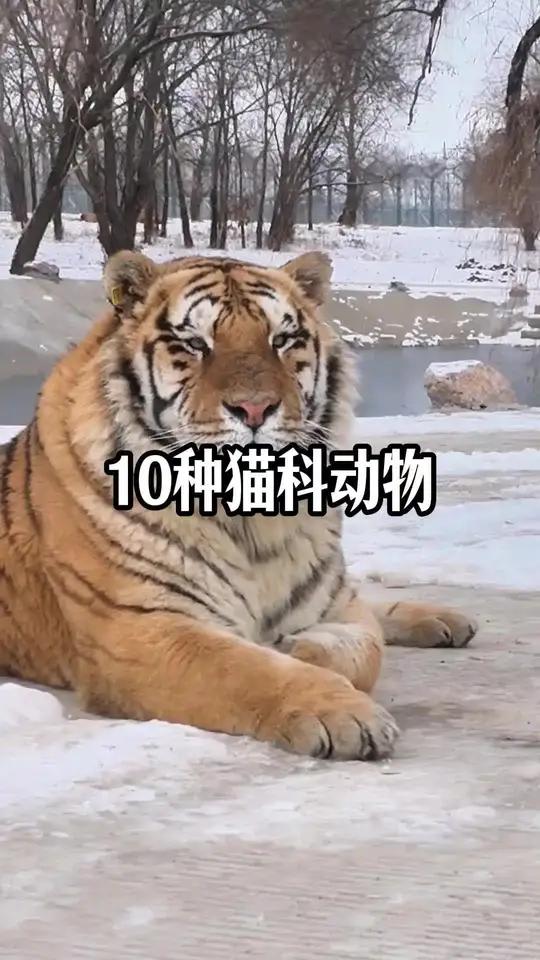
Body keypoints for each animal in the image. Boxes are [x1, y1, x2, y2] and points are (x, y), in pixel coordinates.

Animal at [0, 250, 478, 760]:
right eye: (194, 344)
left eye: (282, 340)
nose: (255, 409)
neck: (251, 519)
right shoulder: (135, 627)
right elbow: (245, 667)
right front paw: (347, 714)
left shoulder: (336, 605)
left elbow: (365, 649)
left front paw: (297, 646)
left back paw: (447, 619)